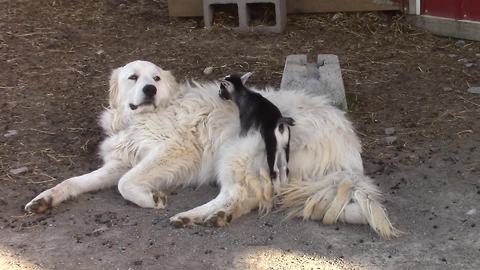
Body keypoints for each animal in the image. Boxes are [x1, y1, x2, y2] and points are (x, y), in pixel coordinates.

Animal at [27, 60, 402, 237]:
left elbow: (125, 184)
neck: (140, 117)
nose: (149, 89)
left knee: (236, 193)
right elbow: (73, 182)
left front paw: (151, 199)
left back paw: (191, 216)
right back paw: (219, 216)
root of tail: (348, 149)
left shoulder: (173, 150)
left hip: (235, 152)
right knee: (250, 197)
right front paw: (43, 199)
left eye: (156, 79)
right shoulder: (119, 161)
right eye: (133, 77)